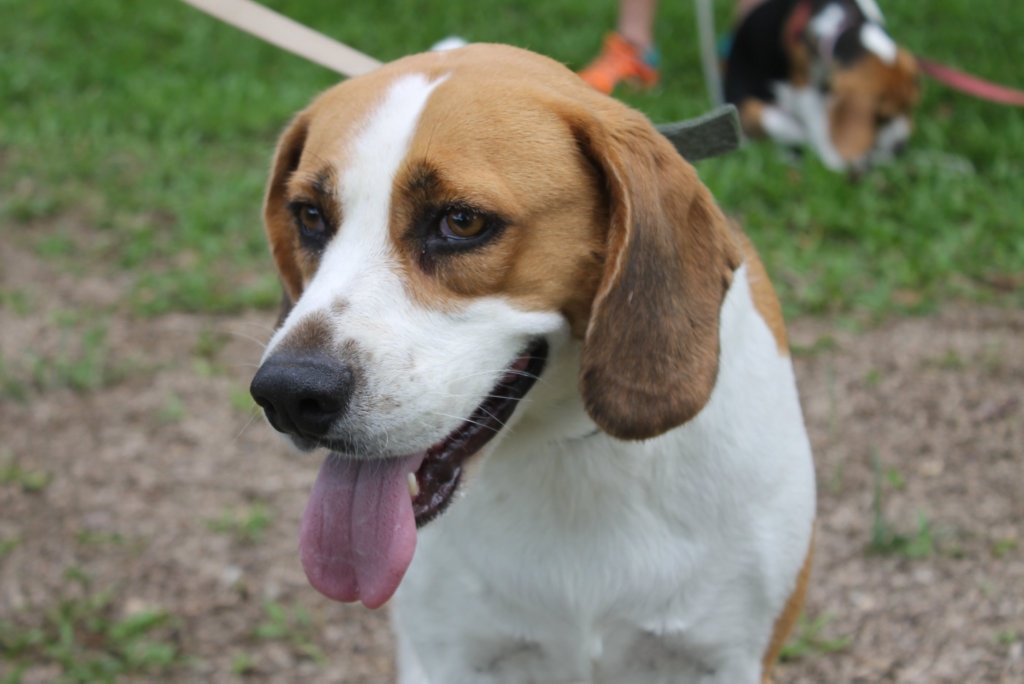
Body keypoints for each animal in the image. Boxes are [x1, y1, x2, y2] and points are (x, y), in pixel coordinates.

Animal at [253, 44, 815, 684]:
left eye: (462, 222)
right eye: (309, 216)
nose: (288, 394)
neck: (570, 450)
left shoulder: (731, 656)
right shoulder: (449, 656)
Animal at [724, 0, 925, 169]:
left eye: (909, 107)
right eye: (881, 117)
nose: (900, 148)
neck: (846, 25)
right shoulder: (803, 83)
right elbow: (817, 122)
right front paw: (837, 159)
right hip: (758, 113)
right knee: (801, 134)